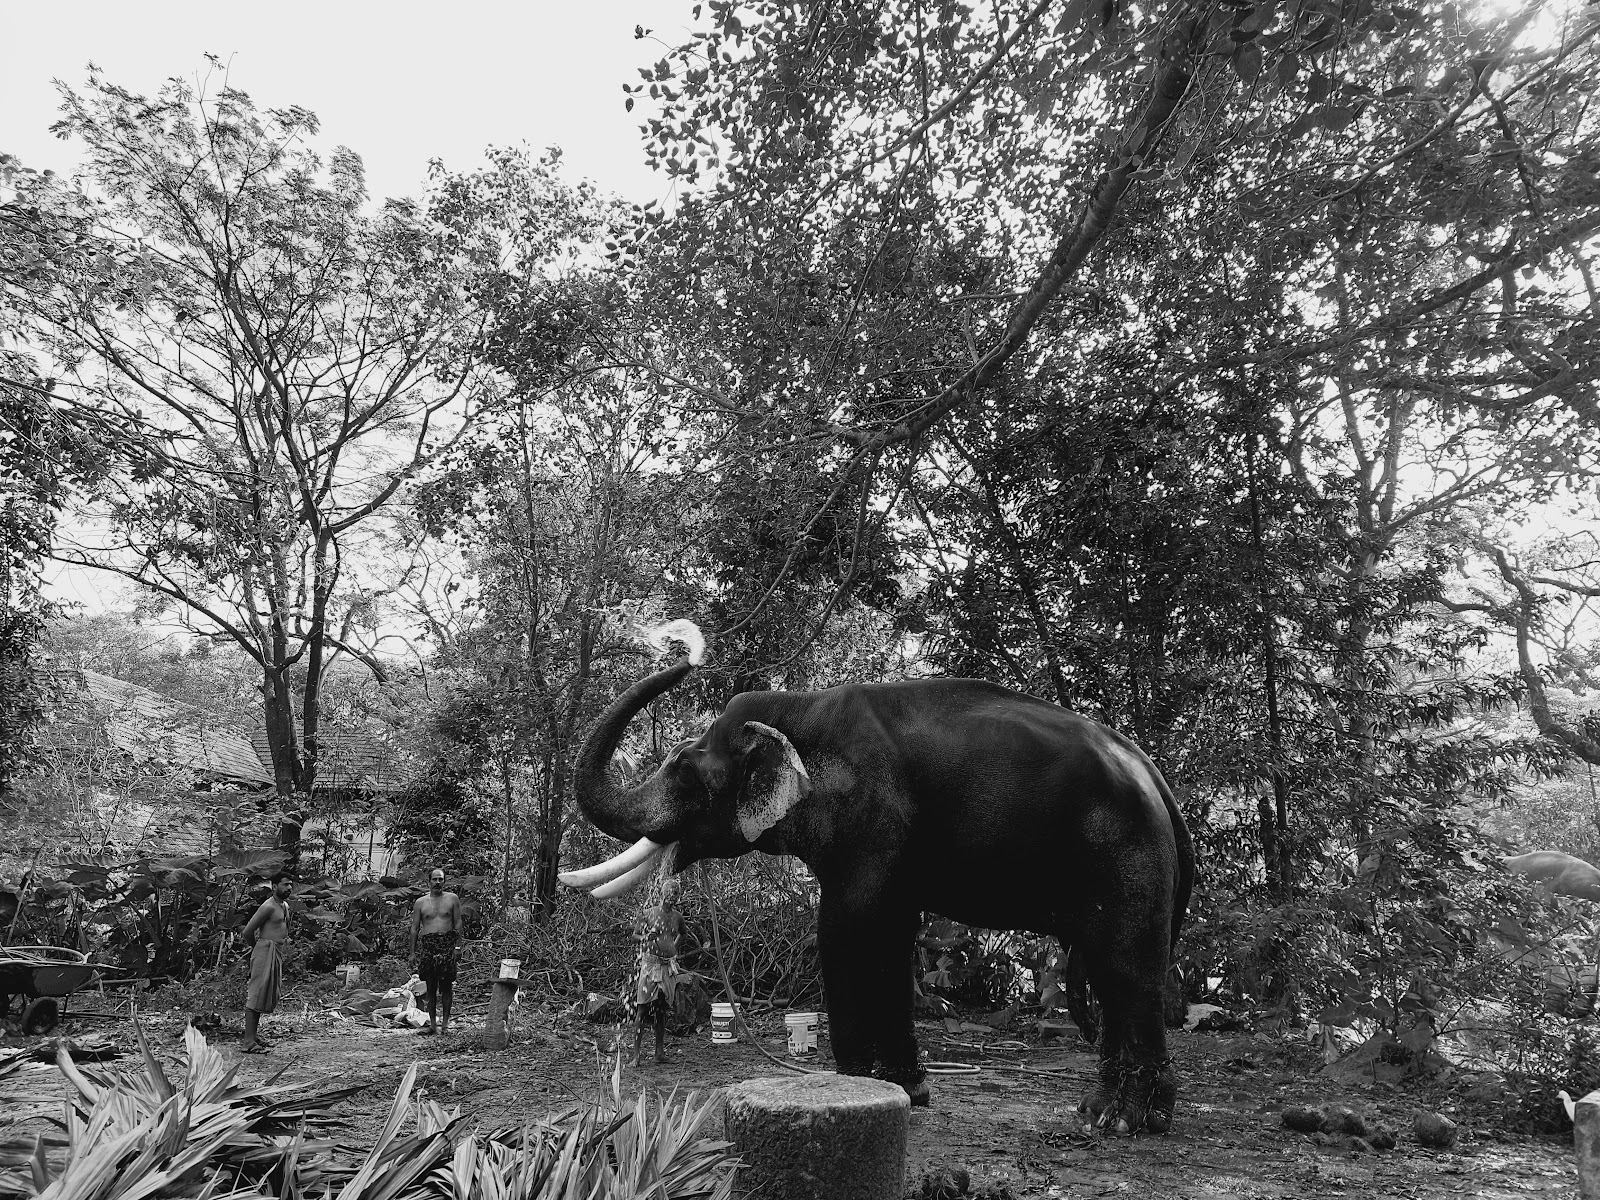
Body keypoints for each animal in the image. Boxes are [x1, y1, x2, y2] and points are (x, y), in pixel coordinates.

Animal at [560, 639, 1195, 1134]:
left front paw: (868, 1086)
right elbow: (890, 930)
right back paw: (1096, 1112)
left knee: (1125, 967)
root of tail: (1157, 780)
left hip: (1126, 856)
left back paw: (1127, 1121)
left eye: (687, 769)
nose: (689, 654)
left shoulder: (872, 816)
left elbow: (850, 924)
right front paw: (908, 1091)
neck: (802, 709)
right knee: (1114, 977)